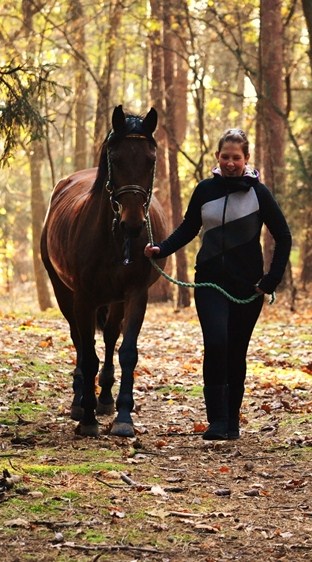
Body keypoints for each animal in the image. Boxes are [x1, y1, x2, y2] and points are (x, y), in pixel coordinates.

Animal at [40, 106, 167, 438]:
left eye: (151, 159)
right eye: (116, 158)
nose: (133, 224)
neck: (114, 238)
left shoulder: (135, 295)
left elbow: (127, 352)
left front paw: (123, 417)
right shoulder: (83, 298)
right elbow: (88, 355)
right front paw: (86, 418)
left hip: (115, 301)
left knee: (110, 338)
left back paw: (106, 400)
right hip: (64, 293)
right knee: (79, 342)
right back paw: (79, 401)